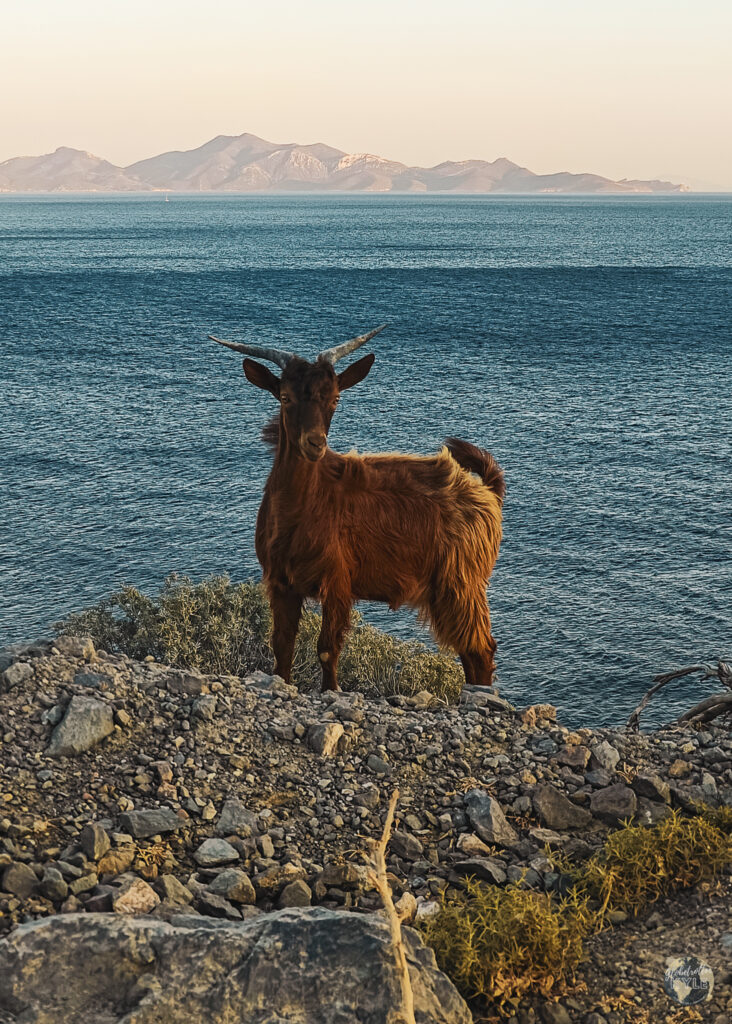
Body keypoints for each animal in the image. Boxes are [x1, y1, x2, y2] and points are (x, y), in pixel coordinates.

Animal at [211, 325, 503, 696]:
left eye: (335, 399)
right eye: (285, 397)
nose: (315, 443)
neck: (303, 508)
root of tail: (488, 492)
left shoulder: (337, 582)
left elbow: (327, 649)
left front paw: (331, 691)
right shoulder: (281, 582)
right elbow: (282, 647)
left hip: (461, 583)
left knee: (481, 650)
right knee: (469, 651)